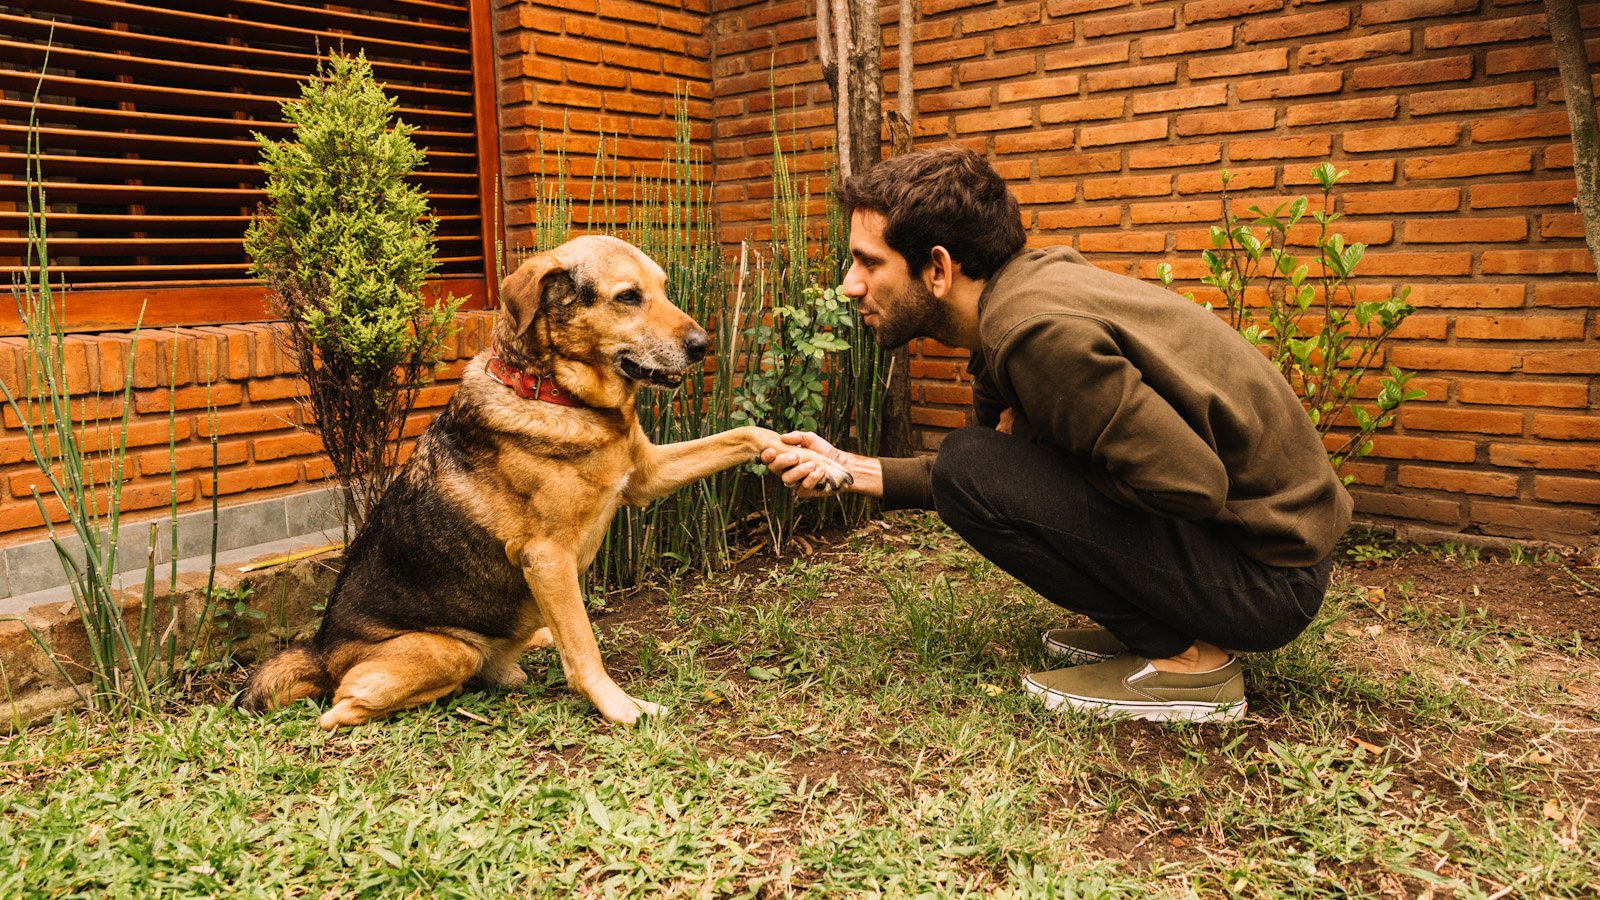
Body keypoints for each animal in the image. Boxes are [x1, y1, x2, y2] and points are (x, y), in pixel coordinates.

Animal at [235, 235, 851, 723]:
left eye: (663, 288)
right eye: (628, 297)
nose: (702, 347)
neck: (561, 397)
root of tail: (319, 650)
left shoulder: (645, 477)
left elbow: (747, 432)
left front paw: (817, 461)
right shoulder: (547, 557)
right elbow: (586, 652)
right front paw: (621, 707)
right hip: (442, 651)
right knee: (344, 707)